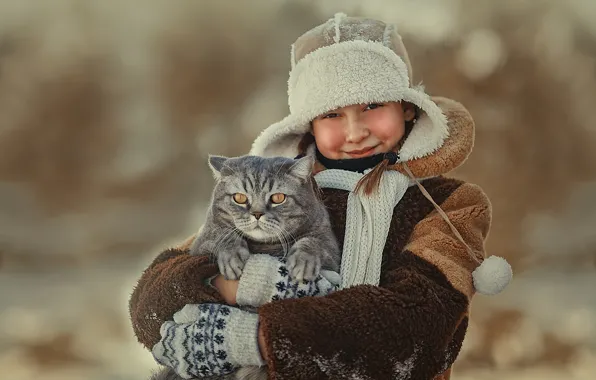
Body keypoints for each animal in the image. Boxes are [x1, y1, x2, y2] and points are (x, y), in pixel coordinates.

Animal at [150, 155, 340, 380]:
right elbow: (223, 234)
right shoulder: (202, 243)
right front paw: (232, 257)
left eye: (278, 198)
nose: (257, 213)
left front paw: (303, 261)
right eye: (239, 198)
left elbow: (312, 242)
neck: (265, 245)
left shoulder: (329, 248)